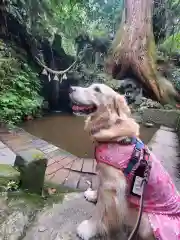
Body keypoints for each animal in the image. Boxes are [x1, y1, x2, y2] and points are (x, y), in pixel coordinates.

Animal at [68, 84, 180, 240]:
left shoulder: (112, 186)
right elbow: (99, 190)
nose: (70, 88)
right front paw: (93, 195)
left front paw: (88, 229)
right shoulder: (104, 177)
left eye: (97, 90)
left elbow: (100, 210)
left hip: (145, 222)